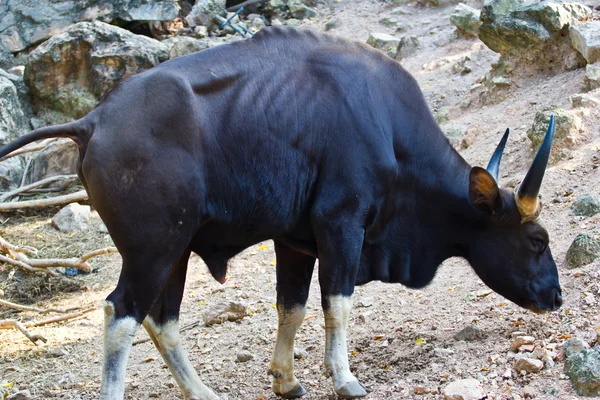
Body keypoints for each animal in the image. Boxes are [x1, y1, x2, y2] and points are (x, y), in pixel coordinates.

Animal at [0, 28, 564, 400]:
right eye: (536, 240)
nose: (555, 297)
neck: (382, 120)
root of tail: (93, 121)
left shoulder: (294, 241)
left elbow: (291, 306)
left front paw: (287, 379)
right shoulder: (341, 225)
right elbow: (338, 303)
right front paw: (345, 378)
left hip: (175, 251)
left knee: (162, 318)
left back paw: (202, 392)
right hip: (153, 249)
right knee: (120, 313)